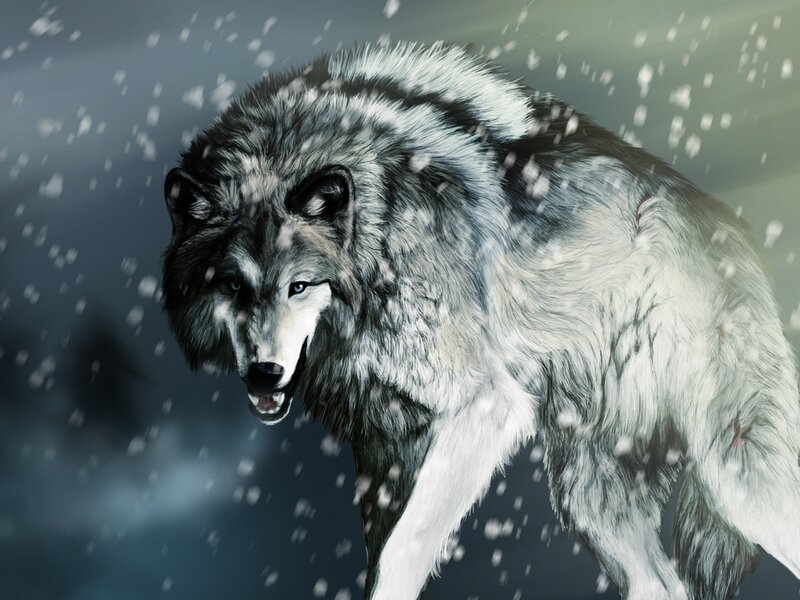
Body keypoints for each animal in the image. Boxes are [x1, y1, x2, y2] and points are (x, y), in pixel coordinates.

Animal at [160, 42, 800, 599]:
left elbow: (404, 550)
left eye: (299, 285)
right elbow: (382, 555)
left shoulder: (483, 406)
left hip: (738, 475)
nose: (264, 374)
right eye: (232, 285)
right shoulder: (385, 452)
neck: (377, 236)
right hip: (589, 499)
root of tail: (734, 230)